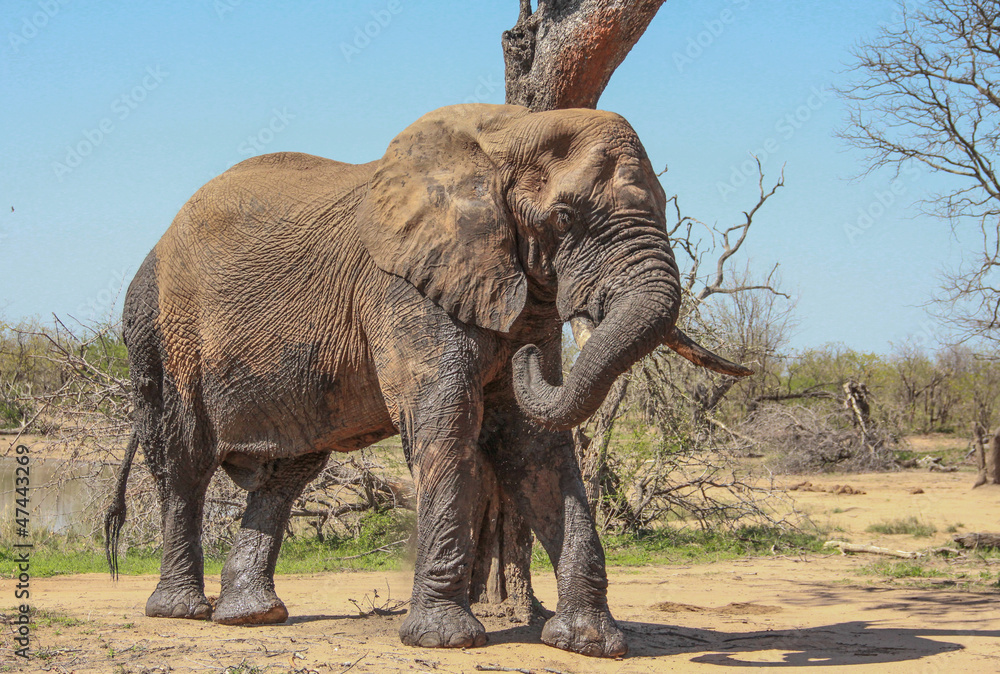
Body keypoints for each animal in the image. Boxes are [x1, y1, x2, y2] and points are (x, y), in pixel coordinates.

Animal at [105, 103, 750, 658]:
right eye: (565, 218)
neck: (504, 137)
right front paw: (445, 640)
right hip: (161, 335)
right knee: (185, 461)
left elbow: (535, 447)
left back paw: (253, 616)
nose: (530, 356)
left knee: (289, 470)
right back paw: (181, 611)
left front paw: (588, 644)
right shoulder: (405, 288)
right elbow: (446, 425)